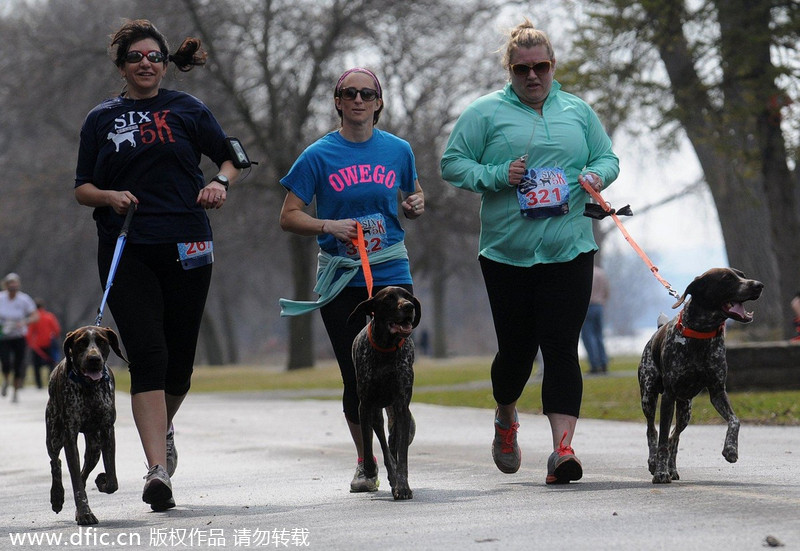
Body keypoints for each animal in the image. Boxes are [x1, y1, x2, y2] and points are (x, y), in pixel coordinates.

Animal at [45, 328, 126, 528]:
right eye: (81, 342)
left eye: (102, 341)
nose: (94, 359)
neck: (89, 387)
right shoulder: (70, 436)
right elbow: (75, 481)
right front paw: (85, 514)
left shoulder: (107, 431)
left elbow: (112, 480)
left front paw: (103, 481)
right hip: (53, 436)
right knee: (55, 462)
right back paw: (57, 497)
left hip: (94, 448)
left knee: (83, 473)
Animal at [348, 286, 422, 502]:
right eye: (388, 299)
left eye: (408, 297)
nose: (409, 306)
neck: (386, 349)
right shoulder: (365, 406)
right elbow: (367, 444)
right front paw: (369, 470)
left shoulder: (402, 407)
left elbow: (402, 455)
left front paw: (403, 486)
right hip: (375, 413)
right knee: (382, 441)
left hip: (395, 417)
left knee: (392, 443)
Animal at [636, 270, 764, 486]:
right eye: (727, 279)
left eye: (742, 275)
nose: (758, 285)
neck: (701, 334)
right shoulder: (668, 396)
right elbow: (661, 439)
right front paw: (660, 473)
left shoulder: (717, 391)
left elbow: (735, 420)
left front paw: (731, 450)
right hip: (649, 397)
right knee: (652, 431)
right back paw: (654, 463)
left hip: (685, 410)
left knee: (674, 437)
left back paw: (672, 469)